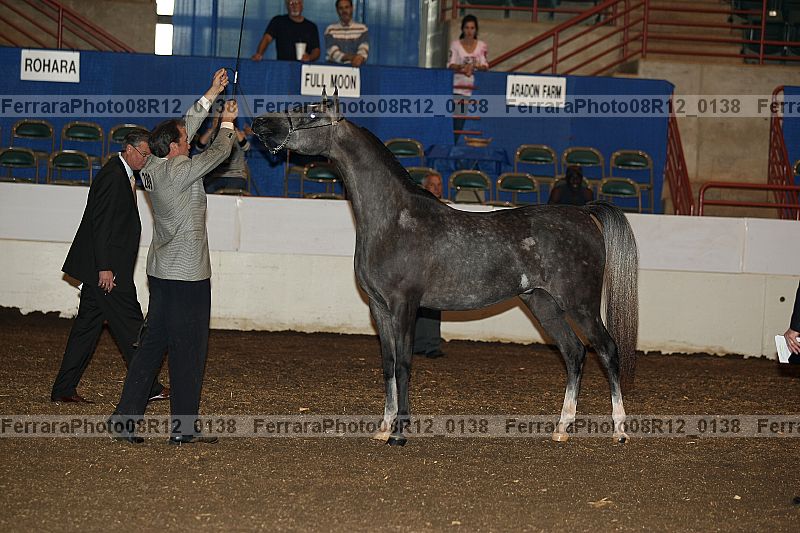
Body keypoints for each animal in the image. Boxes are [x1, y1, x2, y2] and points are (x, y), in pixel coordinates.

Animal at [252, 90, 639, 446]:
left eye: (311, 113)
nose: (260, 124)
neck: (394, 220)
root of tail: (584, 213)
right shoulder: (379, 308)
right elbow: (388, 364)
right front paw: (383, 428)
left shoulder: (405, 305)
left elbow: (404, 364)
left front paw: (399, 434)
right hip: (542, 302)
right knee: (574, 353)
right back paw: (561, 429)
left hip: (580, 304)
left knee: (607, 349)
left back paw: (619, 431)